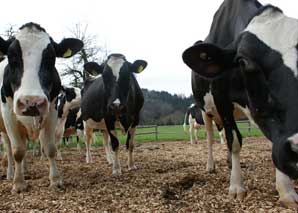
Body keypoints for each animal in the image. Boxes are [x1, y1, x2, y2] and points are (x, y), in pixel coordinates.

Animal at [0, 22, 83, 192]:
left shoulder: (51, 111)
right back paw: (11, 173)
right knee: (9, 149)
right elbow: (17, 150)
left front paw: (55, 180)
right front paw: (18, 183)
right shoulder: (8, 114)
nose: (31, 102)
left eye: (51, 58)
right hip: (4, 129)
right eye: (11, 57)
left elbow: (50, 147)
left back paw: (24, 169)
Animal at [183, 0, 298, 207]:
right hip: (205, 110)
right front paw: (236, 186)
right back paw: (211, 165)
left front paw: (286, 190)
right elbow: (234, 141)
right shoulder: (221, 99)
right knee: (211, 137)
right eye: (242, 62)